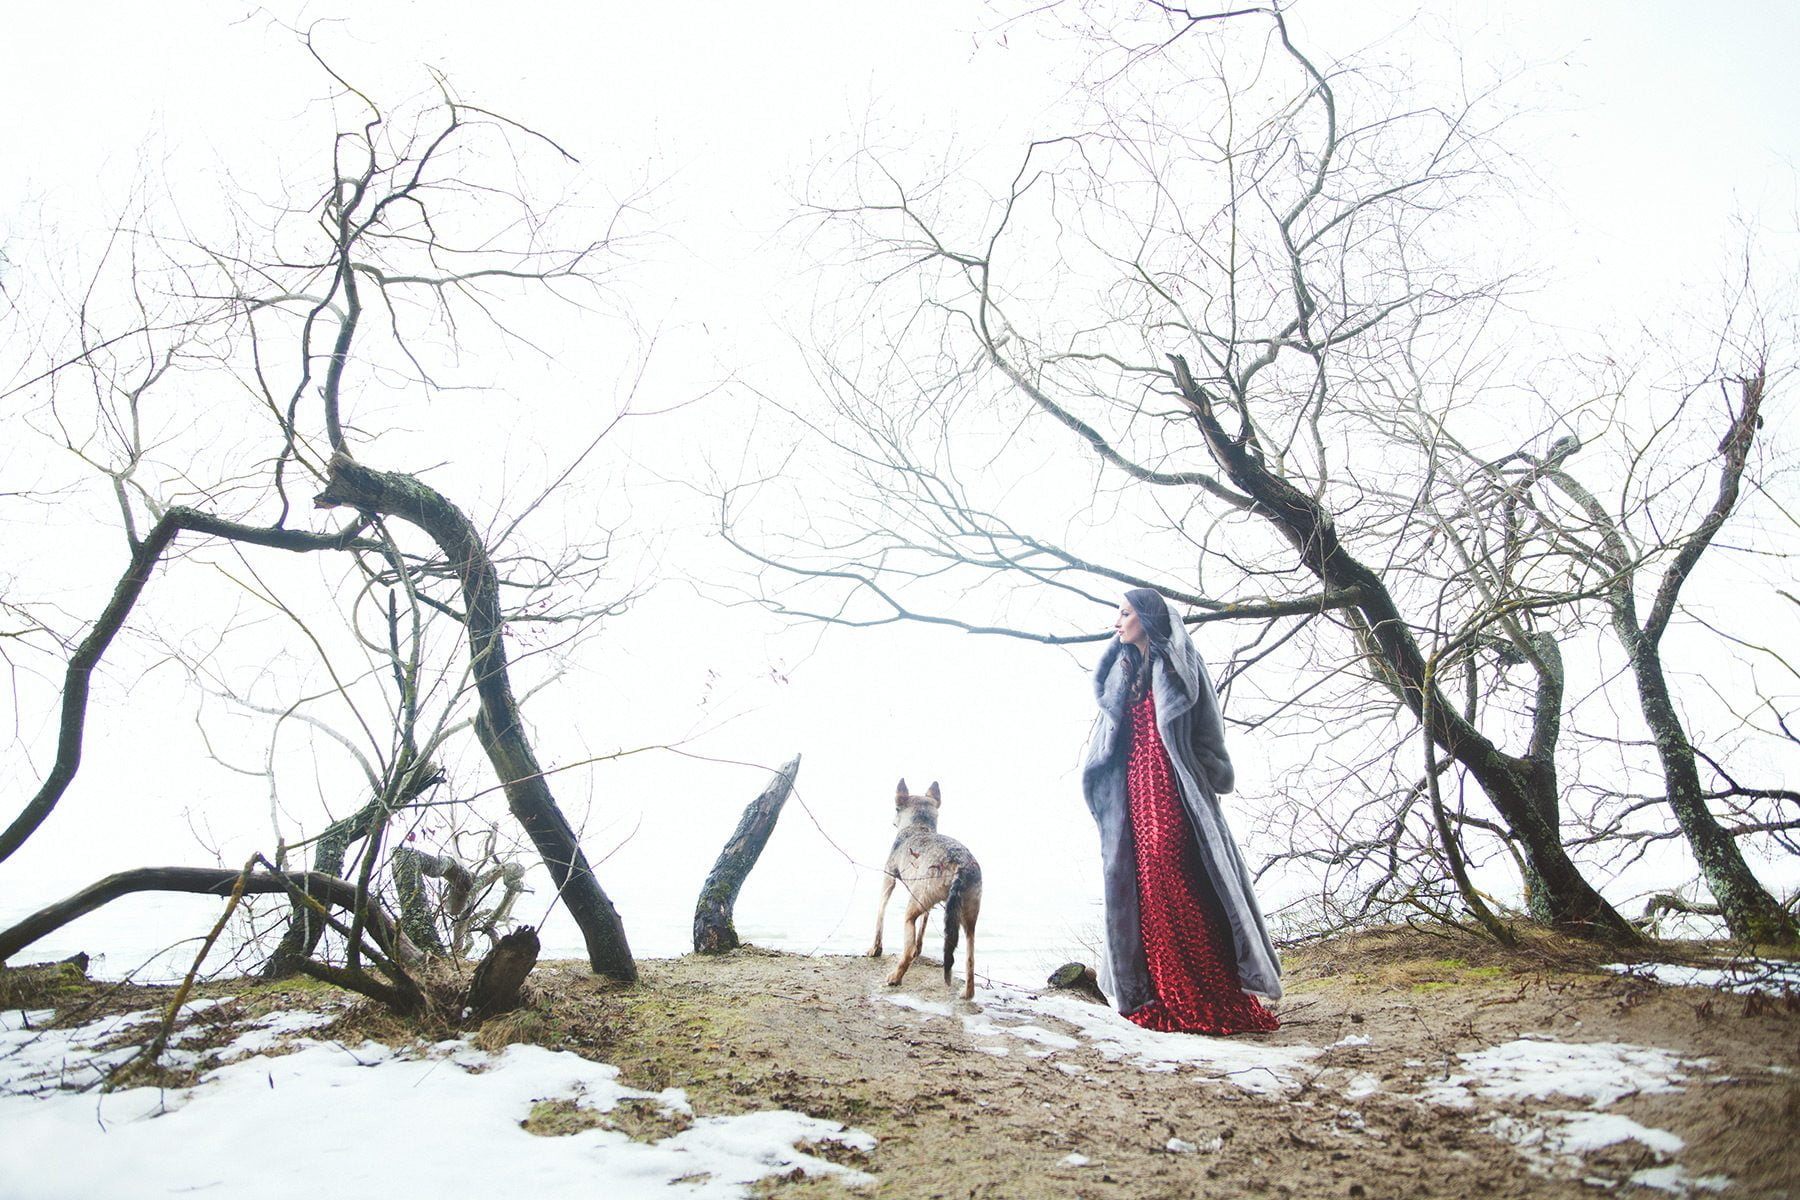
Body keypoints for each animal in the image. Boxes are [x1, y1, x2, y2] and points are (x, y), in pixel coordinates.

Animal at [866, 779, 983, 1000]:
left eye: (896, 809)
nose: (892, 821)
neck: (918, 826)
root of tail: (960, 865)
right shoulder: (928, 904)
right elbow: (923, 927)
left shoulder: (888, 879)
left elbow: (879, 915)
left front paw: (874, 950)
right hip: (967, 916)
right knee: (970, 957)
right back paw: (967, 993)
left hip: (911, 911)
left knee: (908, 949)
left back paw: (895, 977)